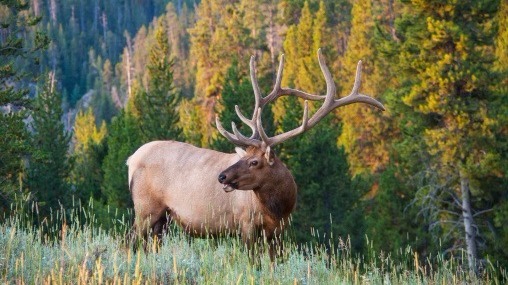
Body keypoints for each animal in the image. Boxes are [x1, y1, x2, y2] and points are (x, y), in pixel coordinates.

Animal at [127, 48, 384, 260]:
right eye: (242, 158)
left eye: (253, 161)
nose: (222, 176)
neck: (278, 208)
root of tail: (130, 160)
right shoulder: (246, 223)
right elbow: (254, 264)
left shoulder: (279, 231)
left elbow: (274, 263)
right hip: (145, 207)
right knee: (133, 242)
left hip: (163, 217)